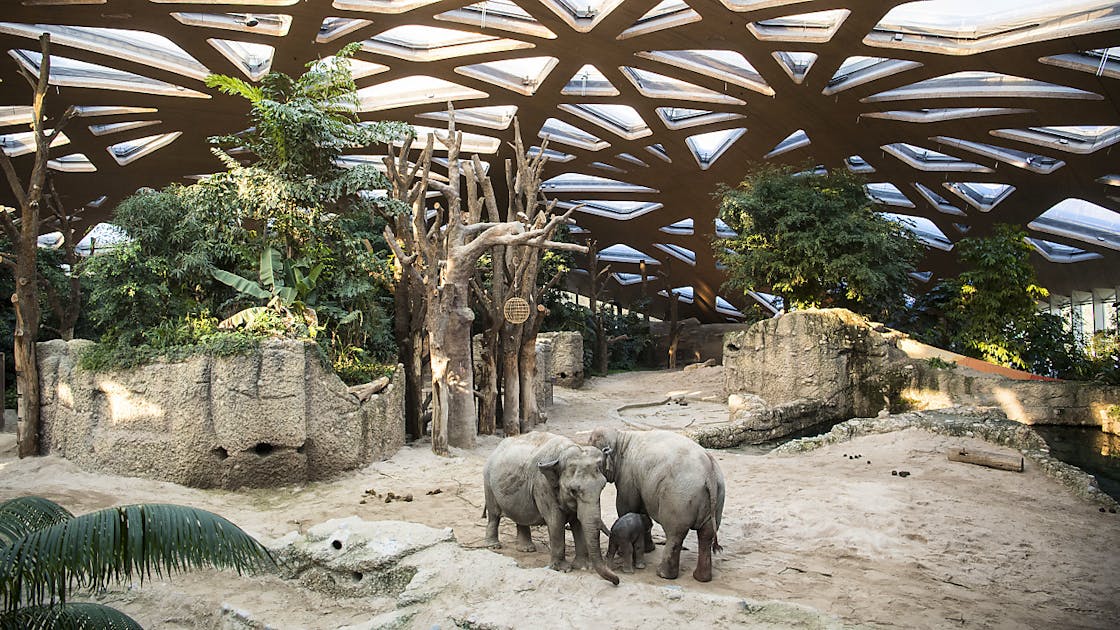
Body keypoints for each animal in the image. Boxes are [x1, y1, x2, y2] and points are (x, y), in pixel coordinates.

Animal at [481, 428, 622, 582]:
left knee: (521, 515)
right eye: (573, 490)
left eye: (603, 487)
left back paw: (527, 549)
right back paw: (494, 546)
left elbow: (578, 522)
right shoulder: (542, 485)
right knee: (494, 514)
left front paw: (584, 567)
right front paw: (564, 569)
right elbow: (555, 521)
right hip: (488, 482)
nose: (617, 580)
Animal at [586, 423, 725, 582]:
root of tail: (710, 473)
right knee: (706, 535)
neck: (622, 438)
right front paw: (649, 549)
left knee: (675, 533)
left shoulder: (628, 476)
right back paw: (701, 578)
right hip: (716, 500)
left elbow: (625, 507)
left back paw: (663, 574)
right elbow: (642, 510)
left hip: (678, 499)